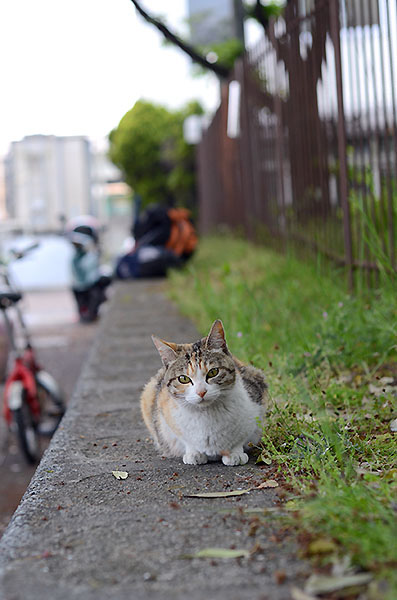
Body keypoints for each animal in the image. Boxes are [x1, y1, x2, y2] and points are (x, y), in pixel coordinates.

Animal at [139, 322, 266, 466]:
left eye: (213, 372)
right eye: (183, 379)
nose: (201, 392)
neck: (207, 414)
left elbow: (241, 436)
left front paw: (235, 453)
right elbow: (186, 440)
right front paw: (194, 453)